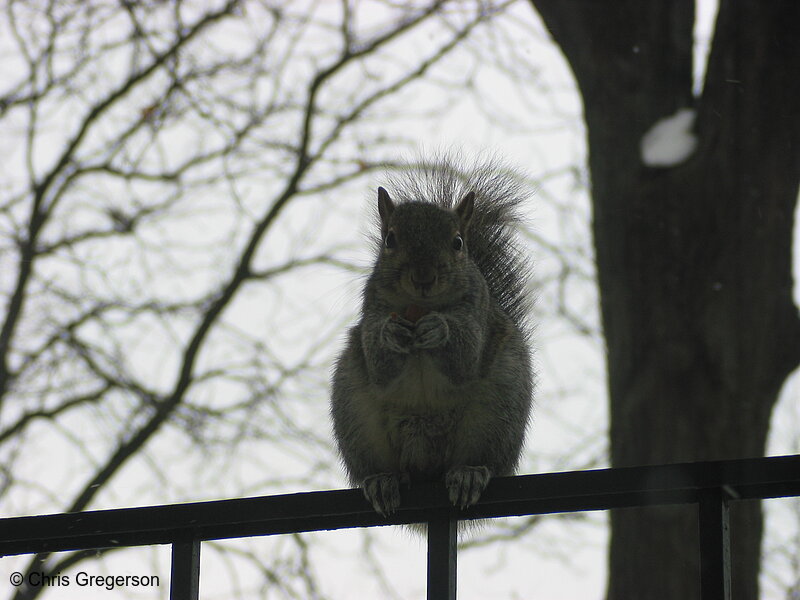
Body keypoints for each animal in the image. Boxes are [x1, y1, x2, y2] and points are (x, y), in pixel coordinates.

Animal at [328, 156, 536, 516]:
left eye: (458, 243)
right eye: (390, 240)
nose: (423, 277)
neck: (420, 307)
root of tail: (426, 468)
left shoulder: (477, 314)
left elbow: (464, 358)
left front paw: (440, 328)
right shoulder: (371, 313)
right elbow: (379, 364)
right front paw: (390, 334)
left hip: (499, 409)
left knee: (481, 459)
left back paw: (469, 475)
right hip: (353, 410)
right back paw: (382, 481)